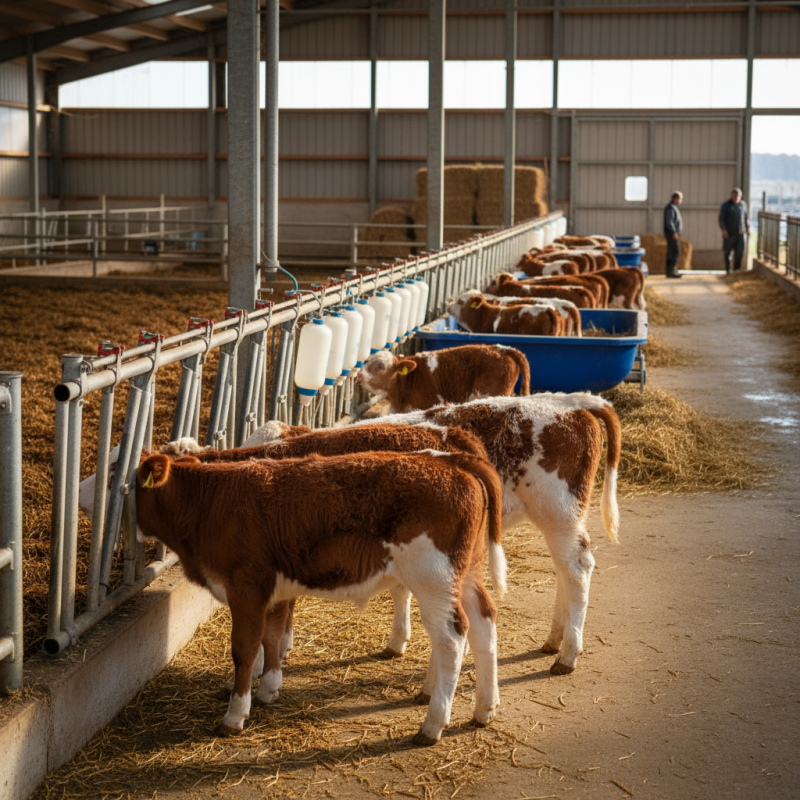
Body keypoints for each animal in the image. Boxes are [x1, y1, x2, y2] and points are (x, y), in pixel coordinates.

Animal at [135, 448, 505, 742]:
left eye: (128, 485)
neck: (210, 503)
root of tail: (451, 461)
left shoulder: (246, 588)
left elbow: (245, 648)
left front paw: (235, 714)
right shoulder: (275, 591)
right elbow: (272, 637)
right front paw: (269, 689)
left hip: (433, 578)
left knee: (451, 639)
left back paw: (433, 725)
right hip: (464, 575)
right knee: (484, 623)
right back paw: (484, 709)